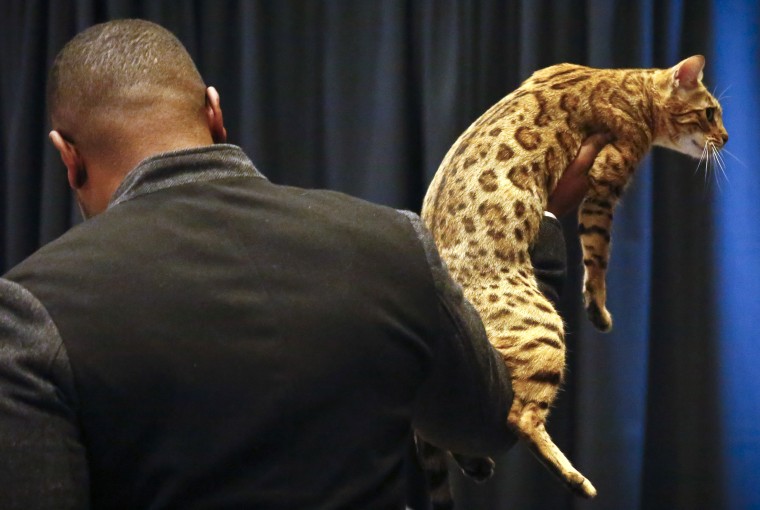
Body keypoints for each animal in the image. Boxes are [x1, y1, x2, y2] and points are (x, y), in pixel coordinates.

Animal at [418, 56, 728, 506]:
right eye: (709, 113)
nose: (725, 137)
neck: (628, 83)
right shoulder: (605, 179)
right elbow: (598, 253)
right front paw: (598, 308)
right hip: (544, 329)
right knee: (517, 418)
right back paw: (575, 480)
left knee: (452, 421)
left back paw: (477, 464)